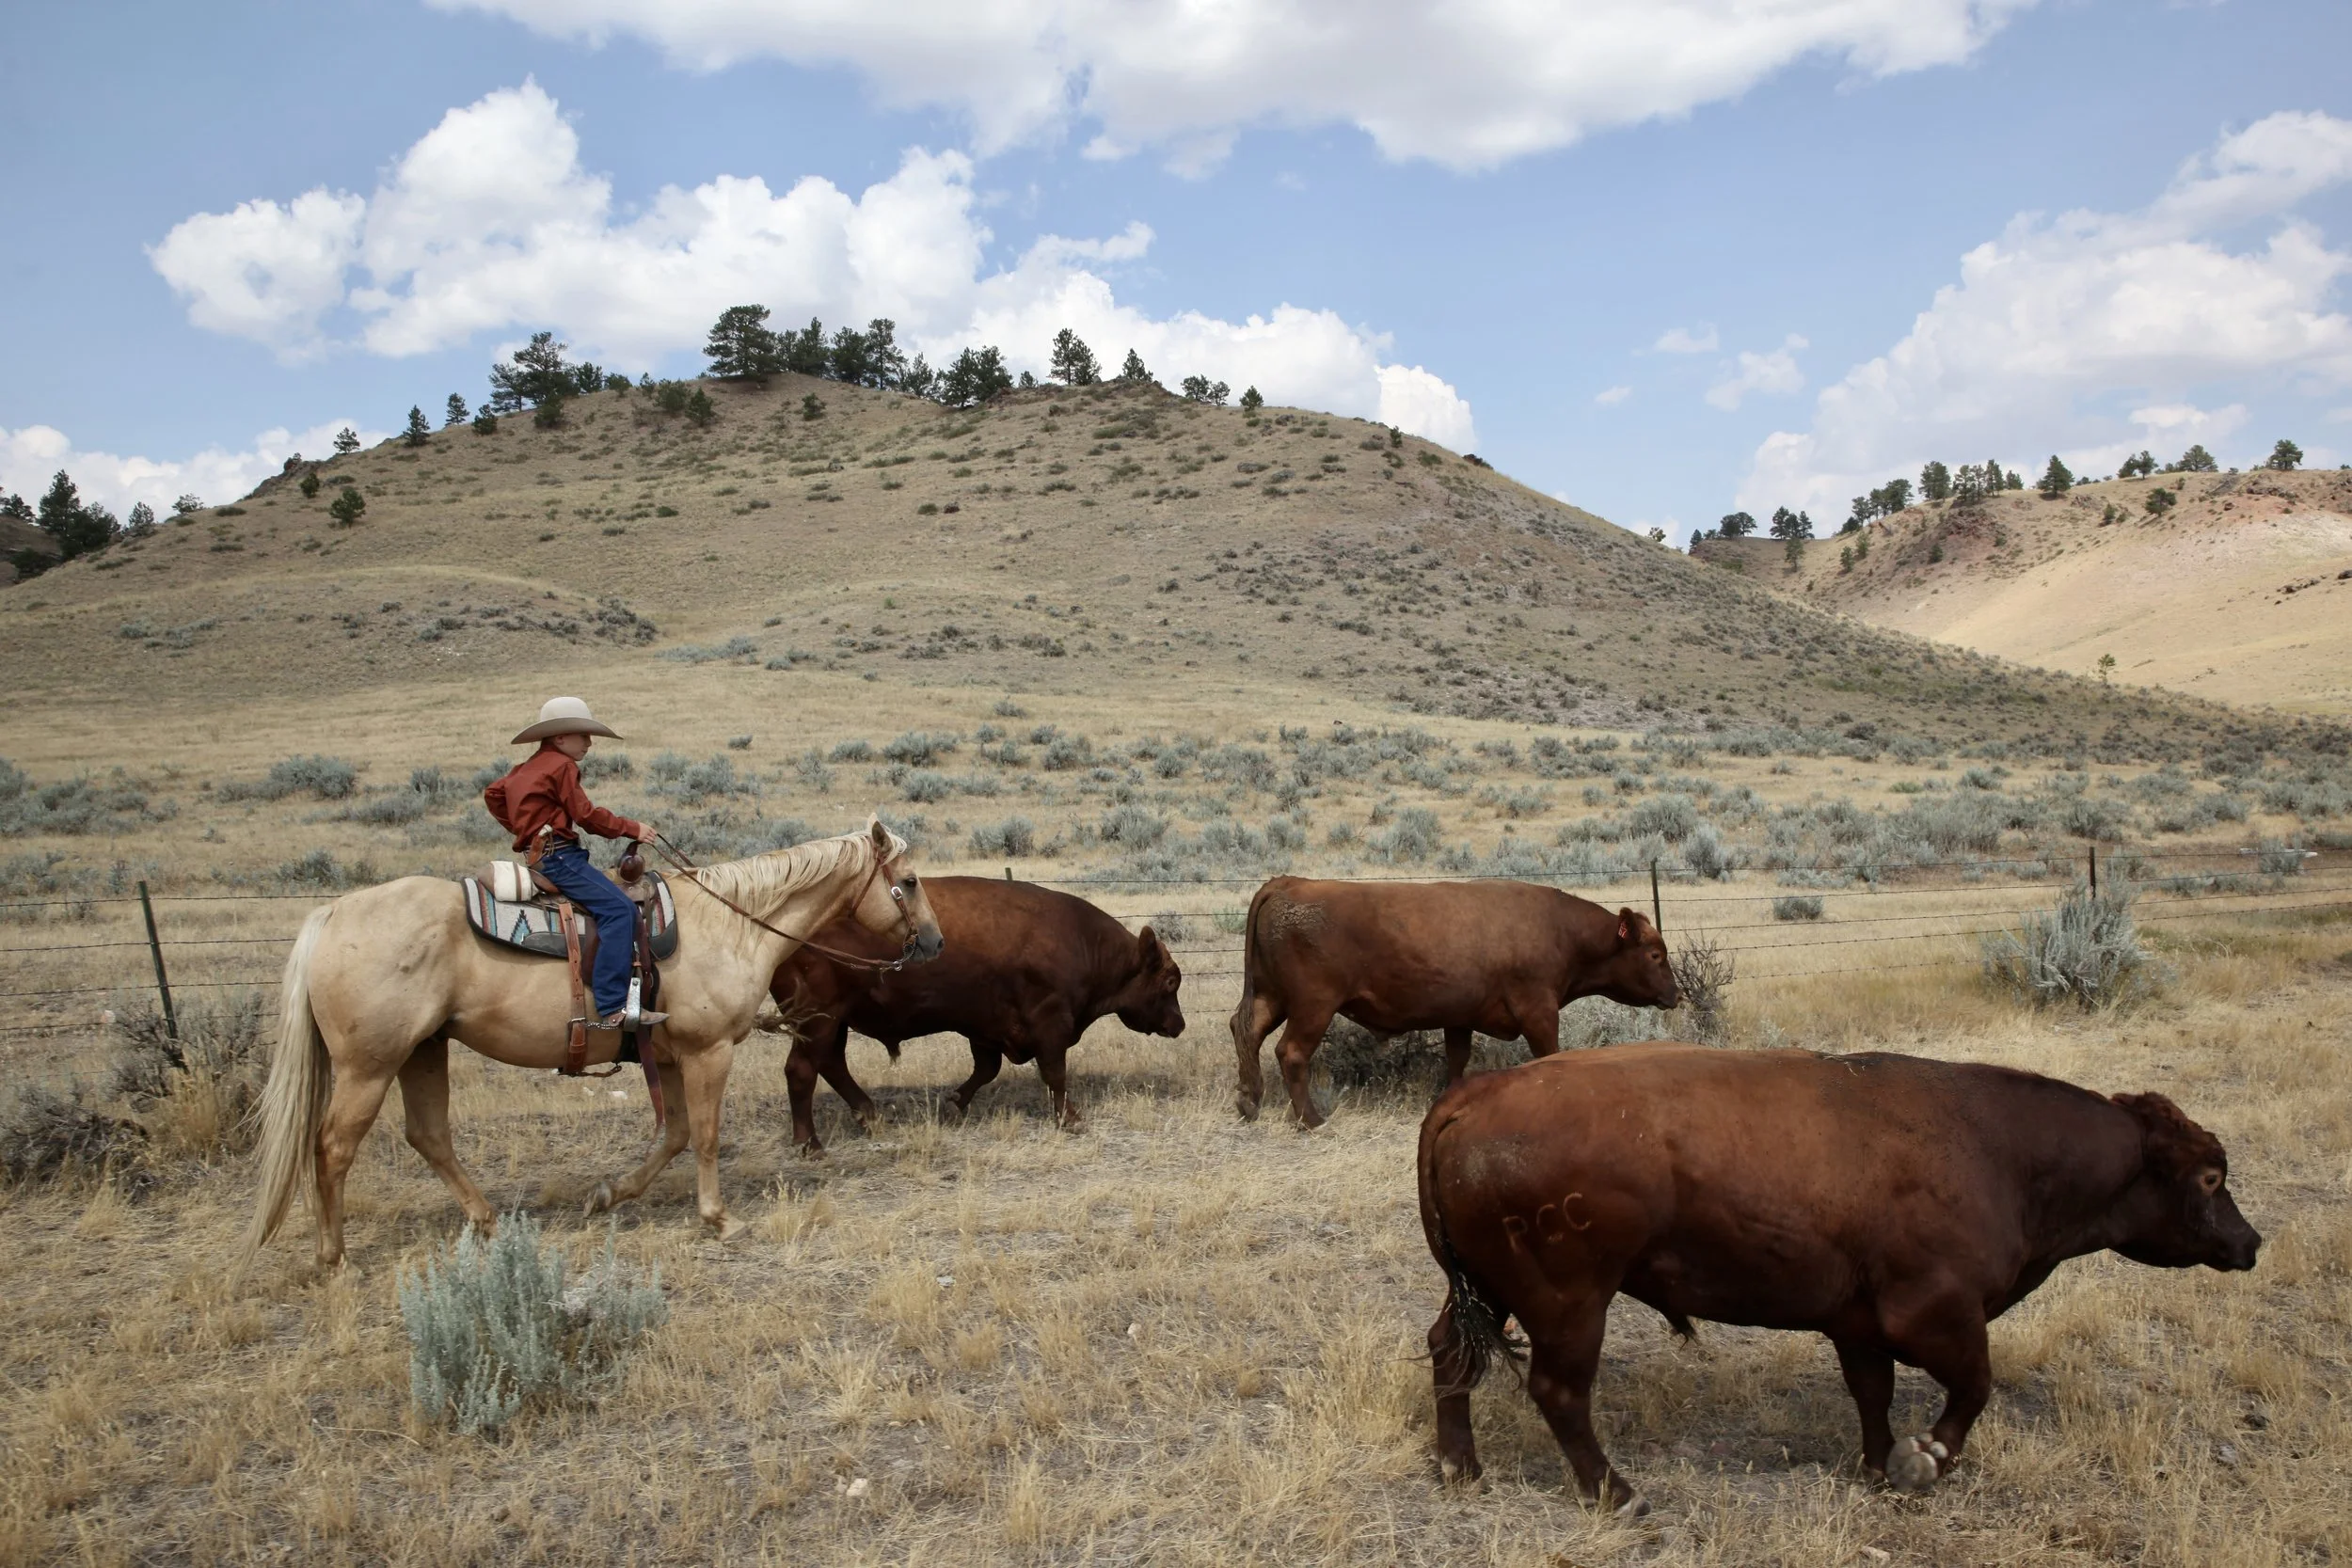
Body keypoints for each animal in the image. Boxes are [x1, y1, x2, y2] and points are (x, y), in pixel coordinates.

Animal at [771, 876, 1185, 1149]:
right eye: (1170, 981)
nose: (1179, 1024)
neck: (1083, 941)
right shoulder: (1050, 1025)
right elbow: (1055, 1074)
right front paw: (1071, 1119)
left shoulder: (985, 1029)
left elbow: (987, 1069)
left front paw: (955, 1102)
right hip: (818, 1019)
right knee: (802, 1070)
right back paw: (810, 1144)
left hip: (833, 1022)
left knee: (832, 1065)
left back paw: (871, 1119)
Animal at [1228, 876, 1679, 1127]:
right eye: (1656, 954)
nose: (1674, 994)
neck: (1559, 930)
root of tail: (1290, 882)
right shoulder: (1539, 1012)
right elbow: (1549, 1054)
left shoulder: (1460, 1017)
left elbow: (1458, 1061)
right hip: (1313, 1005)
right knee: (1291, 1052)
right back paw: (1311, 1120)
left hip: (1272, 997)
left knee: (1246, 1031)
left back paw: (1249, 1101)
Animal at [1418, 1044, 2261, 1512]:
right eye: (2211, 1174)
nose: (2250, 1242)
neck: (2004, 1150)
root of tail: (1470, 1096)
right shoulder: (1935, 1315)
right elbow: (1974, 1388)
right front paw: (1924, 1461)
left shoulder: (1859, 1325)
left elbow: (1873, 1394)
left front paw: (1880, 1465)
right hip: (1570, 1301)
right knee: (1559, 1390)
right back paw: (1617, 1493)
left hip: (1487, 1291)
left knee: (1449, 1352)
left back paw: (1461, 1467)